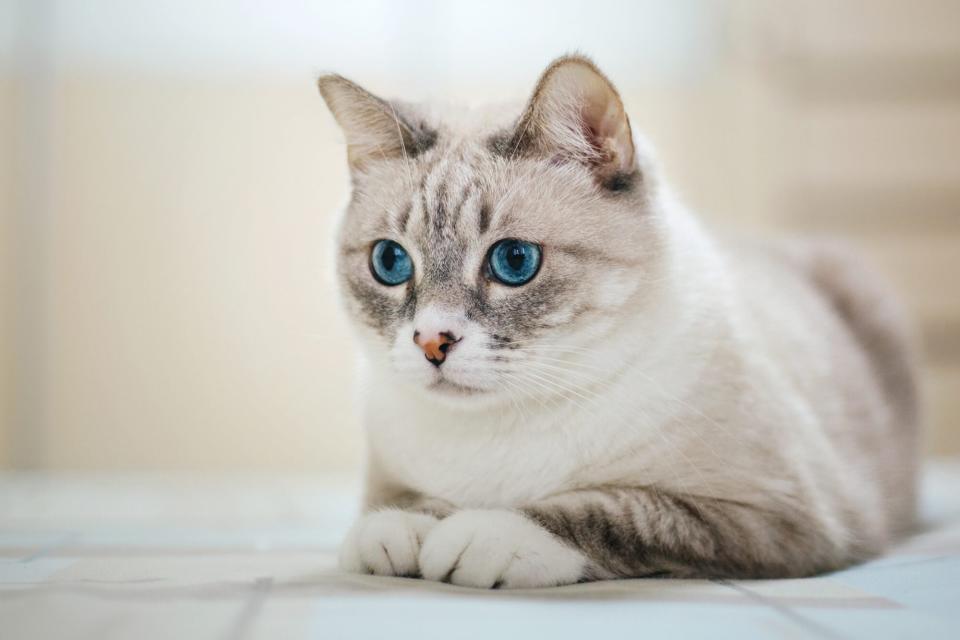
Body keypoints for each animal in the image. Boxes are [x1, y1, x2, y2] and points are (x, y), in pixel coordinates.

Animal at [318, 56, 920, 592]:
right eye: (390, 262)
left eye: (514, 261)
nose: (431, 341)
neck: (503, 430)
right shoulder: (388, 475)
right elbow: (397, 505)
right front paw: (399, 531)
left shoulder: (773, 515)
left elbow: (609, 513)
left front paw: (483, 535)